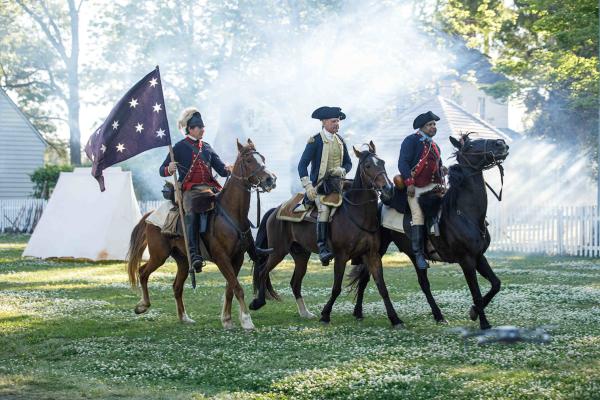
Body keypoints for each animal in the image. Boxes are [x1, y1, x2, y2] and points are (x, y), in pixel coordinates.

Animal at [127, 139, 278, 330]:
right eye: (249, 160)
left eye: (262, 158)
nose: (271, 179)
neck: (230, 212)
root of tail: (151, 214)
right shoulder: (222, 258)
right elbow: (237, 288)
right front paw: (246, 320)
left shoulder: (237, 258)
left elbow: (230, 289)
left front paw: (227, 319)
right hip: (159, 255)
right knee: (143, 272)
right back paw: (142, 305)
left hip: (183, 261)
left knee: (176, 286)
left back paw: (184, 317)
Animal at [248, 141, 404, 328]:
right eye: (367, 165)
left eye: (382, 162)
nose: (388, 188)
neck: (357, 213)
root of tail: (276, 209)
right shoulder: (341, 256)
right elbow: (336, 287)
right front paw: (325, 314)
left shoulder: (372, 255)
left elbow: (382, 287)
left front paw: (395, 319)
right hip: (278, 251)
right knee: (263, 271)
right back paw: (258, 302)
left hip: (301, 255)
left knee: (294, 283)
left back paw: (305, 313)